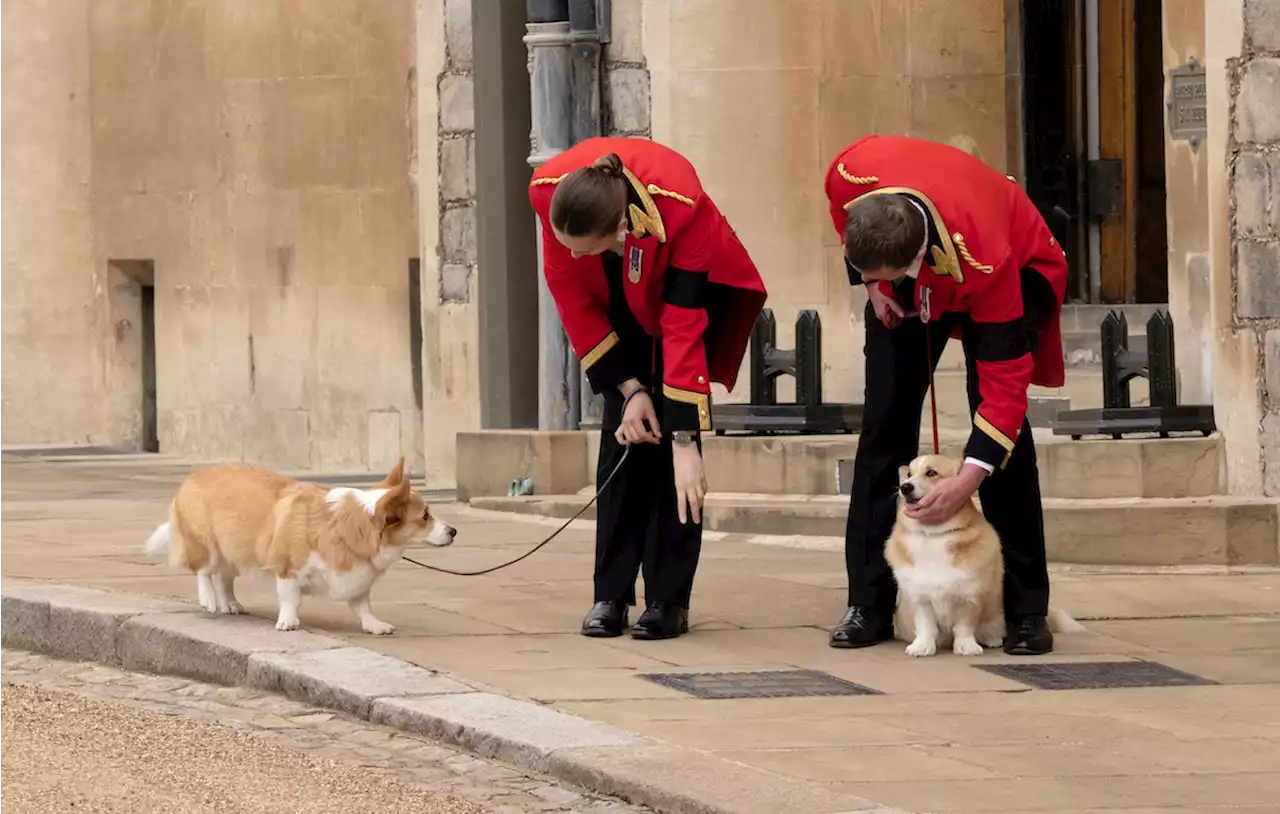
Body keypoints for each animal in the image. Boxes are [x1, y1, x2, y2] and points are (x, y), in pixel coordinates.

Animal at [144, 458, 455, 634]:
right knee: (204, 571)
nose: (453, 531)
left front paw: (374, 625)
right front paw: (288, 622)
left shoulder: (357, 579)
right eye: (425, 517)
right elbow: (290, 598)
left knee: (224, 576)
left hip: (236, 548)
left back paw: (230, 603)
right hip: (208, 544)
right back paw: (208, 598)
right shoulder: (287, 569)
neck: (352, 525)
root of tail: (192, 476)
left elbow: (362, 605)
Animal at [885, 455, 1085, 660]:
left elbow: (963, 627)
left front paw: (966, 647)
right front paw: (922, 647)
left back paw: (993, 639)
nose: (905, 487)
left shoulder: (970, 596)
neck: (934, 534)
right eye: (909, 474)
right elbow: (926, 626)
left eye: (931, 472)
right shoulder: (919, 597)